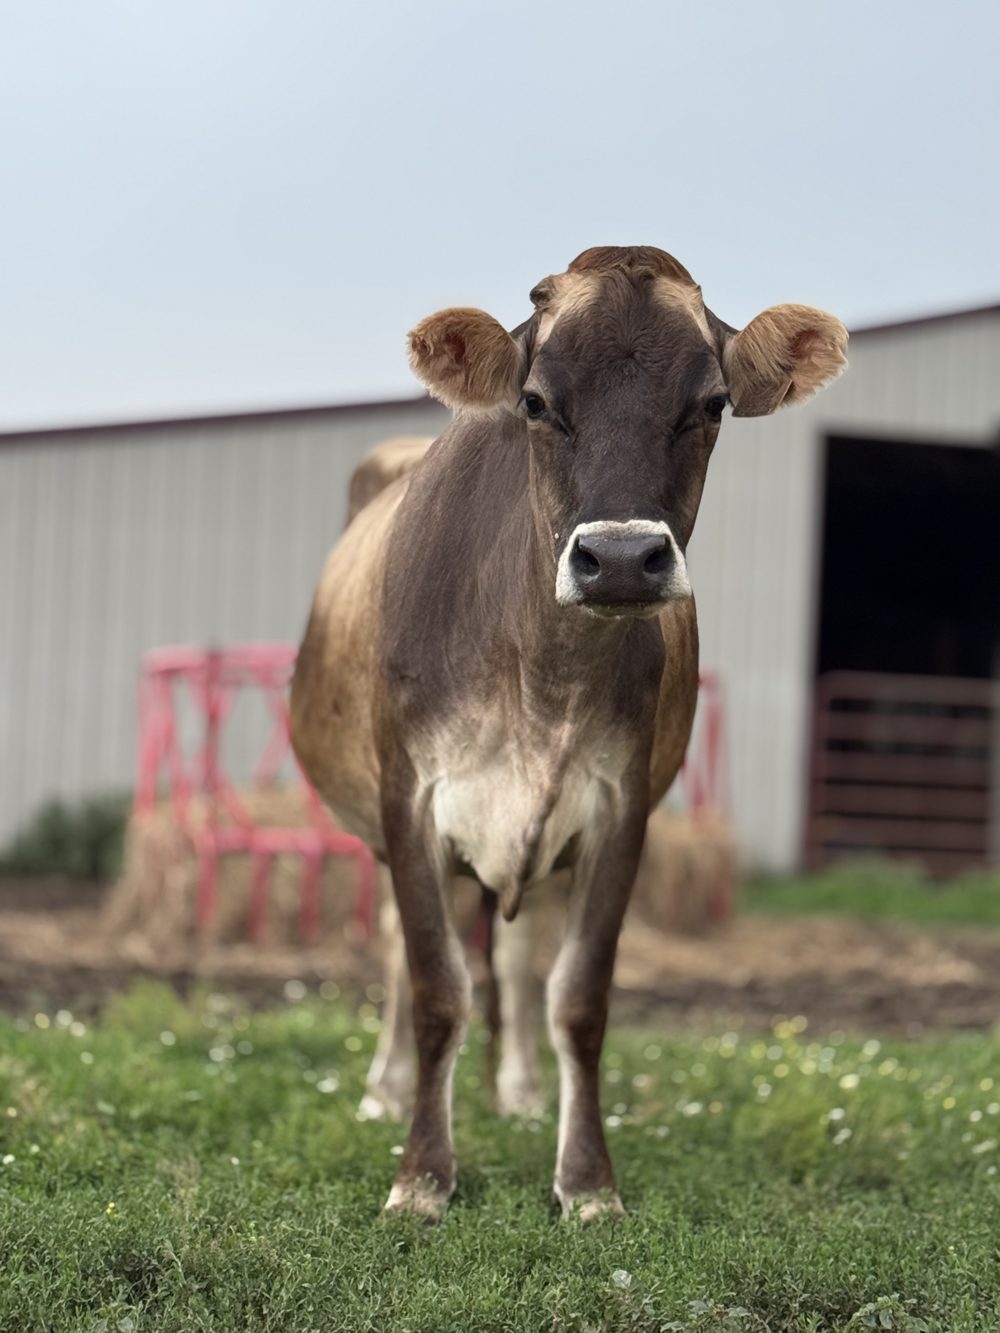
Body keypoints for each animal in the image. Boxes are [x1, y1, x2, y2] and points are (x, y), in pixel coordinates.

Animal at [290, 245, 847, 1220]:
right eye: (536, 401)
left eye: (711, 404)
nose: (620, 558)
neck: (542, 673)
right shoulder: (409, 799)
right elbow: (437, 987)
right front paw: (422, 1176)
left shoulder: (619, 808)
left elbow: (578, 997)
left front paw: (587, 1182)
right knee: (402, 950)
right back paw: (386, 1090)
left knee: (515, 953)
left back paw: (515, 1092)